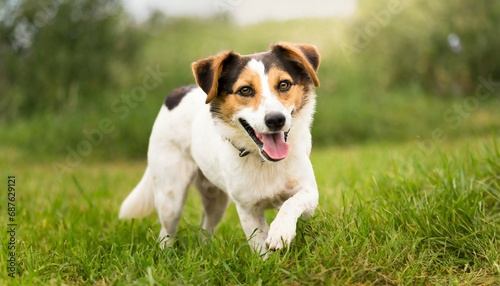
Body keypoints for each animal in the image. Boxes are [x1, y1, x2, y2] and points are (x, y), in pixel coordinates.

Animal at [120, 42, 320, 255]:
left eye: (284, 84)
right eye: (245, 90)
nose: (276, 120)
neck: (263, 161)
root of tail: (176, 94)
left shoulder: (309, 194)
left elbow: (291, 203)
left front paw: (281, 231)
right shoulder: (248, 209)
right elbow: (260, 246)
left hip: (216, 201)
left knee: (205, 229)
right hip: (170, 198)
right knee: (166, 231)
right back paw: (166, 255)